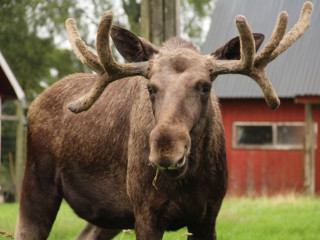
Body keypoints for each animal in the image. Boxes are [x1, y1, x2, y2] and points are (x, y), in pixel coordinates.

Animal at [15, 2, 312, 240]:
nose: (167, 150)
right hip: (36, 183)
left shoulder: (208, 215)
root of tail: (35, 104)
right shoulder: (146, 213)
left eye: (205, 86)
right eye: (150, 87)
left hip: (111, 213)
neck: (188, 179)